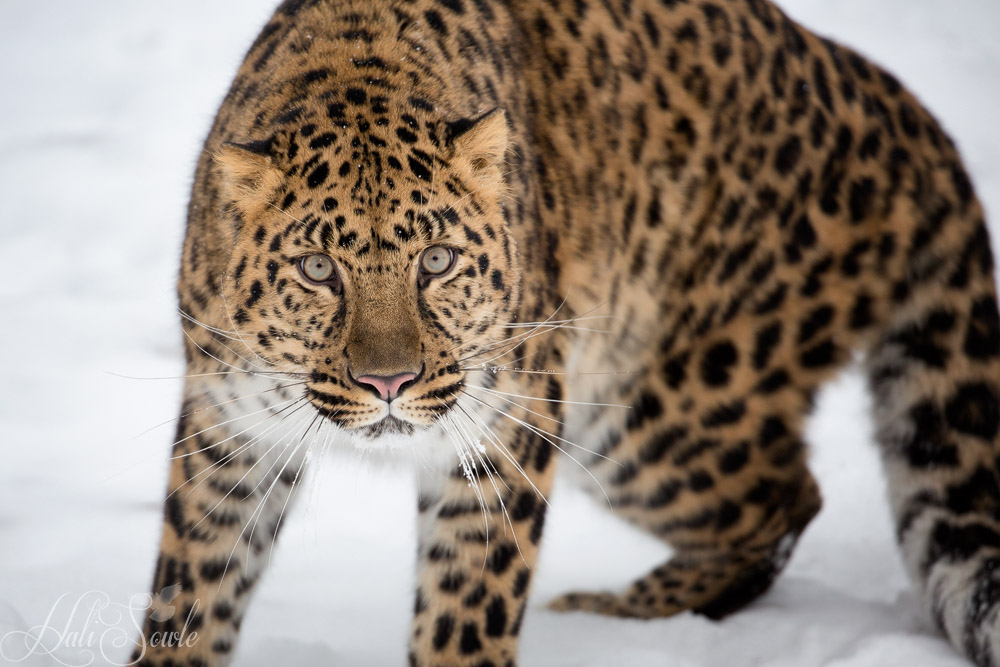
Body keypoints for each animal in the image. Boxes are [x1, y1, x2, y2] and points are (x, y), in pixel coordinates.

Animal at [133, 0, 1000, 665]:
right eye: (317, 269)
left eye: (437, 260)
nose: (389, 383)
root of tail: (896, 104)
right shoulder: (227, 431)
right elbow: (193, 583)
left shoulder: (506, 429)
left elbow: (467, 609)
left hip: (647, 413)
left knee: (786, 498)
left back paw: (608, 613)